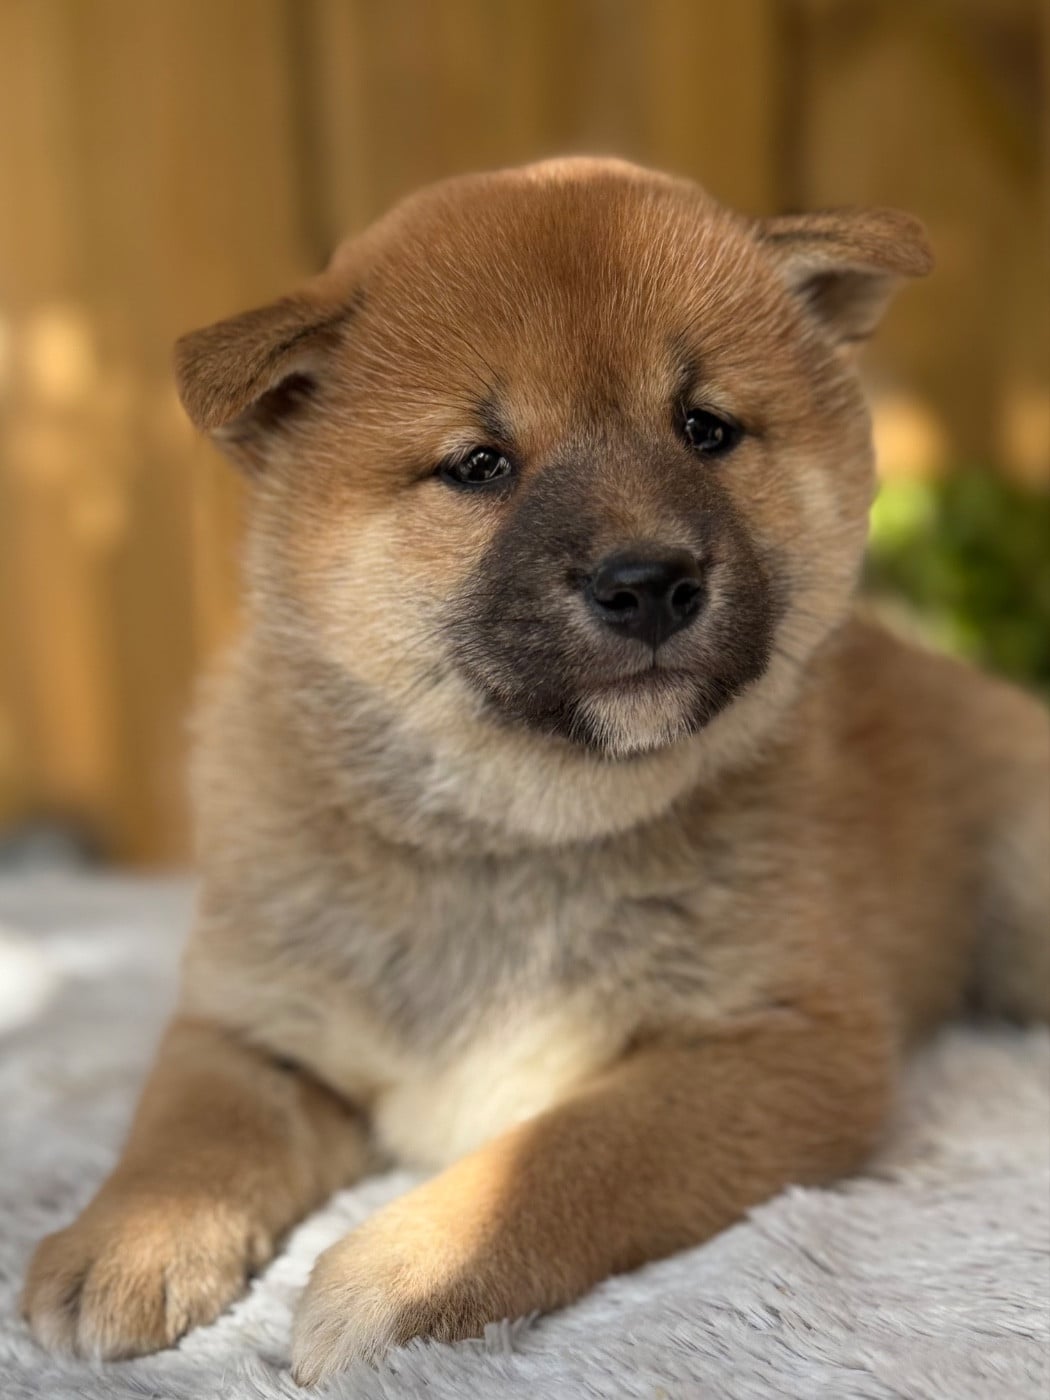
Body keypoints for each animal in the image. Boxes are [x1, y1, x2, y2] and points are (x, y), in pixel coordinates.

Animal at [22, 158, 1050, 1385]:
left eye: (705, 428)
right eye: (479, 464)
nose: (648, 582)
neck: (509, 839)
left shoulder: (785, 1043)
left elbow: (562, 1155)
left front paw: (402, 1268)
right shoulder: (250, 1019)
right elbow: (186, 1126)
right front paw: (118, 1239)